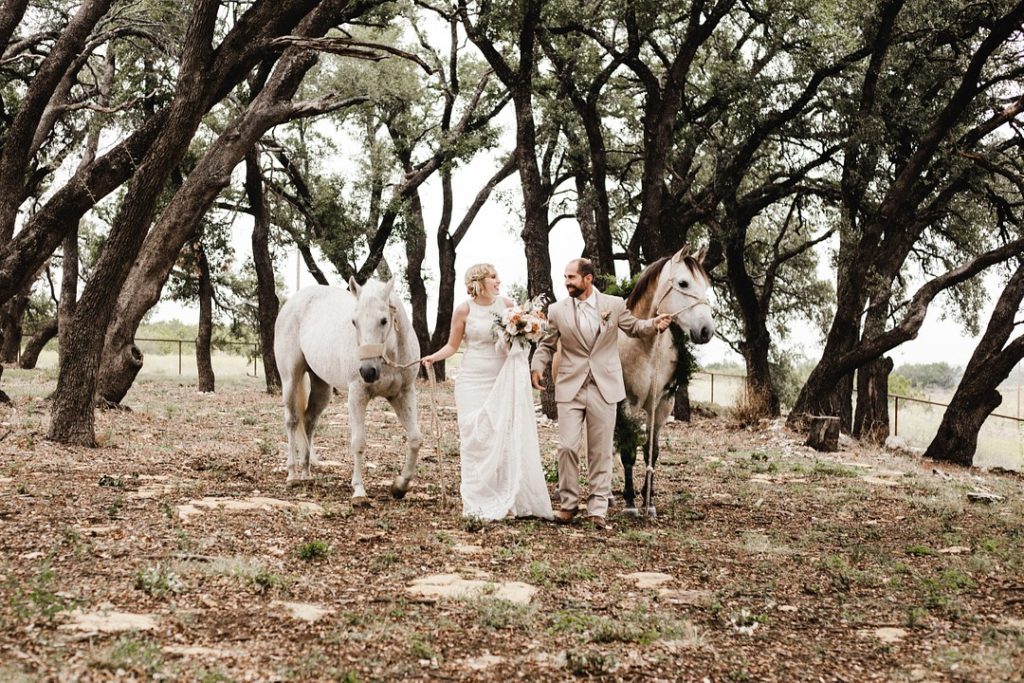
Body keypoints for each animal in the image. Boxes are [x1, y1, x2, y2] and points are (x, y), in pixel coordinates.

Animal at [272, 278, 419, 507]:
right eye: (354, 322)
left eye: (384, 320)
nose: (367, 371)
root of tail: (292, 302)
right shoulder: (357, 395)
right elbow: (358, 442)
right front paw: (359, 492)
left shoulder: (404, 395)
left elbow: (414, 440)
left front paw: (400, 486)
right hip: (290, 379)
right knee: (292, 421)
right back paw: (292, 474)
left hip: (321, 387)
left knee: (309, 421)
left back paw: (306, 472)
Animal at [618, 244, 716, 511]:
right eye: (683, 283)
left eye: (706, 284)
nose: (706, 331)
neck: (646, 347)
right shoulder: (628, 405)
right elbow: (628, 451)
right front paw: (630, 501)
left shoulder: (661, 405)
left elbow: (652, 451)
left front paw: (648, 500)